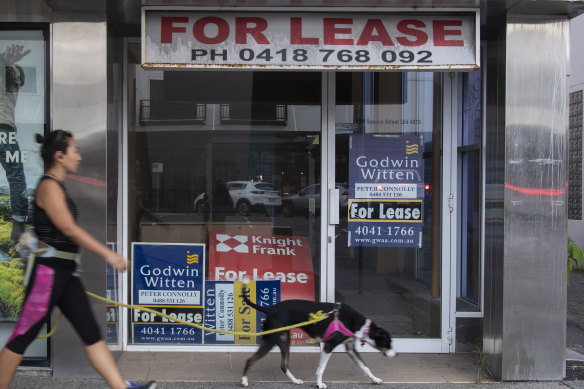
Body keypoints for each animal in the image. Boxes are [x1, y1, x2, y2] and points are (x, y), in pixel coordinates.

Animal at [240, 288, 394, 384]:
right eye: (387, 343)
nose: (396, 354)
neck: (359, 324)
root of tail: (270, 309)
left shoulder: (350, 348)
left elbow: (364, 366)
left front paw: (375, 379)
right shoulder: (328, 346)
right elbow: (321, 369)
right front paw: (319, 384)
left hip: (284, 341)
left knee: (284, 366)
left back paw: (295, 380)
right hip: (270, 340)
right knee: (250, 360)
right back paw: (244, 380)